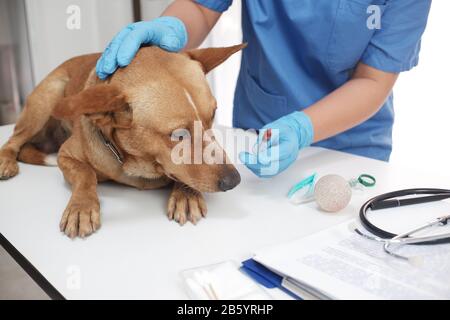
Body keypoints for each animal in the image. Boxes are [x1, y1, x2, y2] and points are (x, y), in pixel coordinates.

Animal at [0, 43, 246, 238]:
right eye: (178, 135)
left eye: (213, 115)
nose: (234, 181)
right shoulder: (65, 155)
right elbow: (85, 174)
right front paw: (82, 206)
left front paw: (186, 194)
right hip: (47, 99)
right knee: (13, 139)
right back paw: (6, 161)